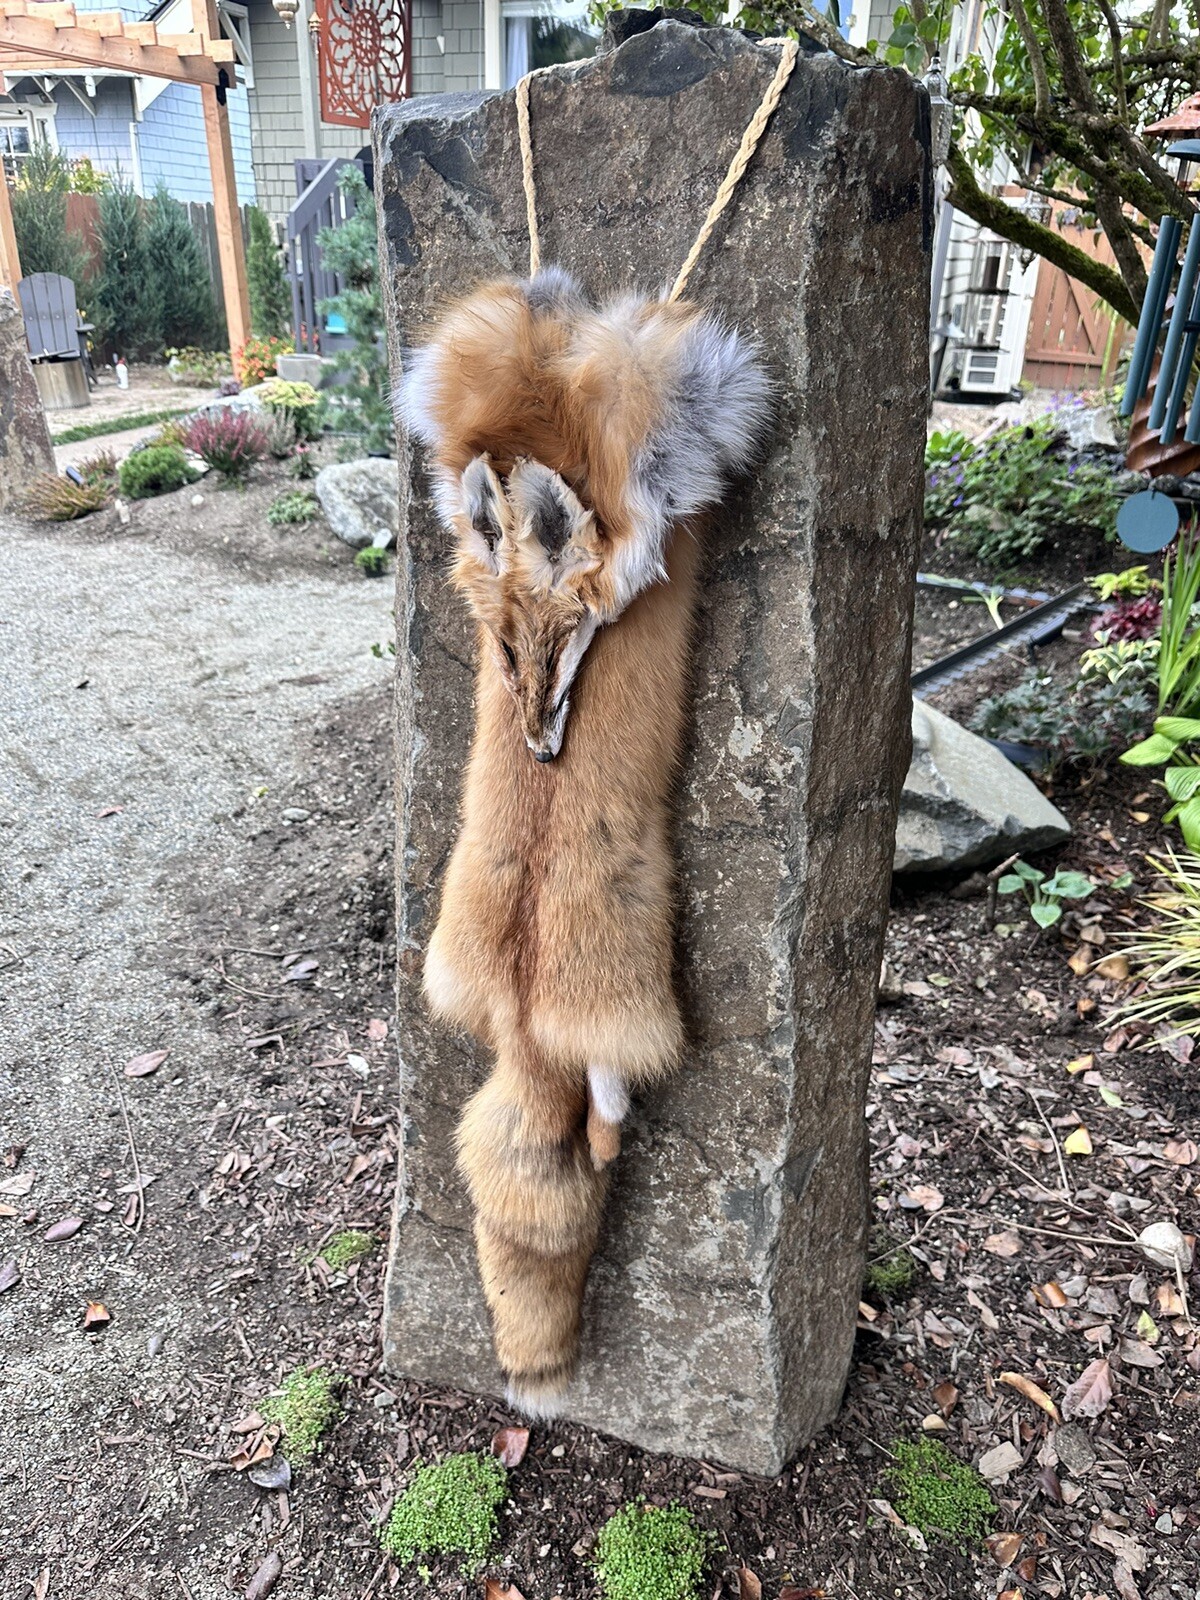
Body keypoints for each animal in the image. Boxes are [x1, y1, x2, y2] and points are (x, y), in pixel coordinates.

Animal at [400, 268, 770, 1411]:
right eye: (502, 651)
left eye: (555, 650)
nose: (537, 746)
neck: (549, 415)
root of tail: (526, 1004)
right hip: (628, 1002)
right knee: (605, 1101)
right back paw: (608, 1147)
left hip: (463, 971)